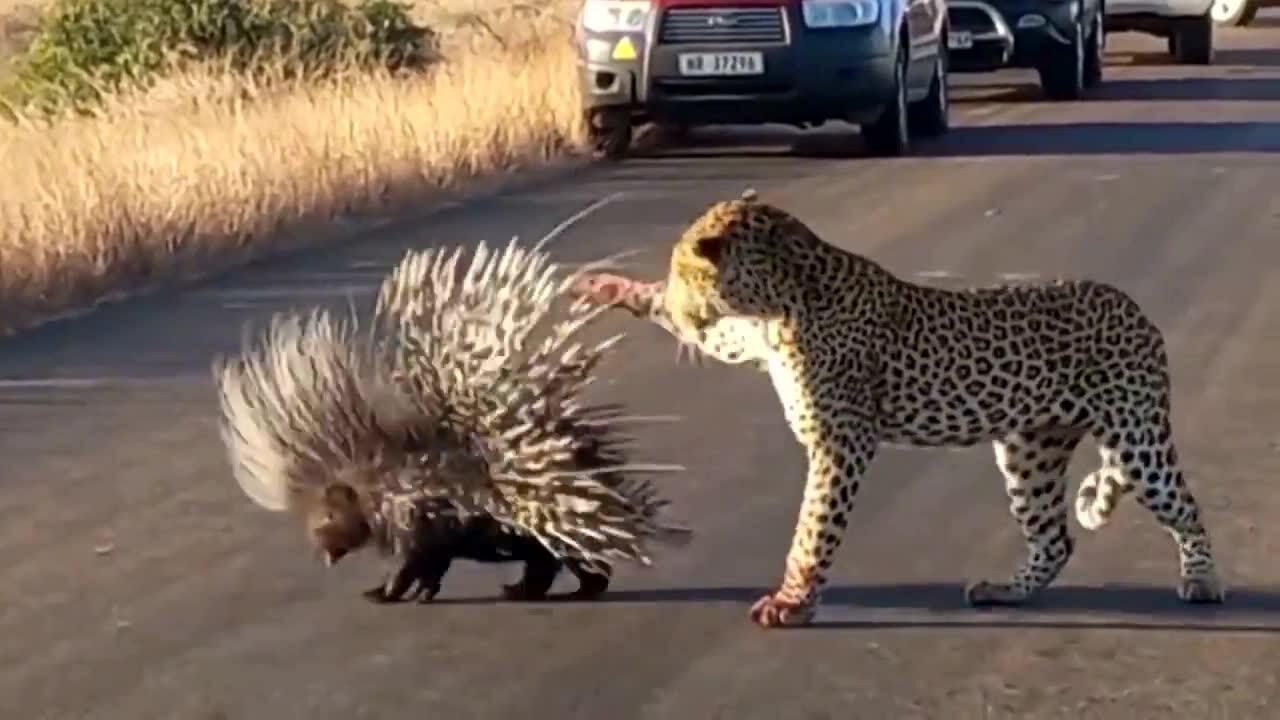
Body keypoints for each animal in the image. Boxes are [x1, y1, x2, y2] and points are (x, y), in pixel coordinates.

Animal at [568, 188, 1218, 625]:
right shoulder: (747, 339)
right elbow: (704, 332)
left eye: (682, 269)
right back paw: (1007, 591)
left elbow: (813, 528)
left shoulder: (841, 442)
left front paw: (792, 603)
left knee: (1185, 508)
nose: (681, 302)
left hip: (1135, 439)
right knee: (1054, 539)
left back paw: (1203, 582)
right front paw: (605, 287)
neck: (778, 294)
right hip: (1029, 452)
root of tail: (1135, 308)